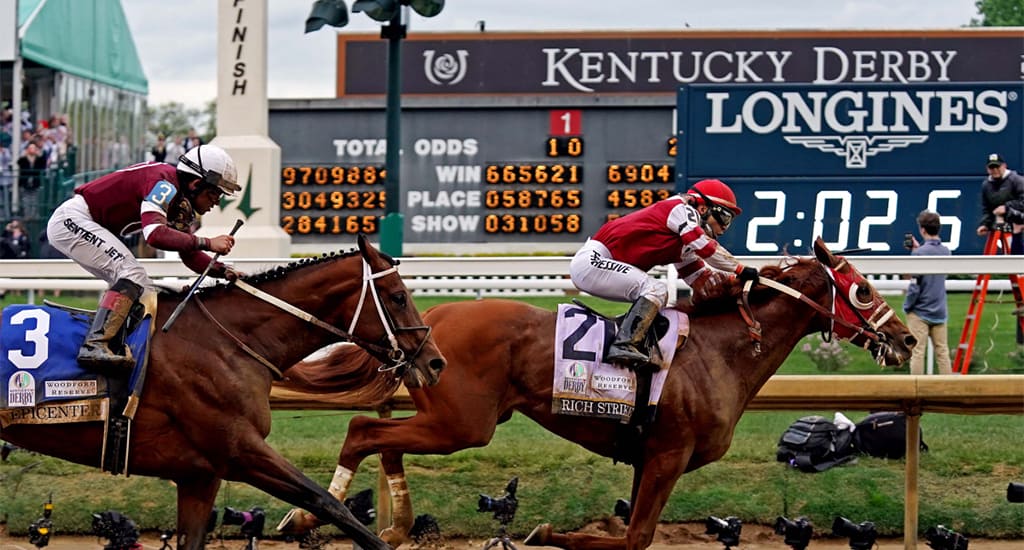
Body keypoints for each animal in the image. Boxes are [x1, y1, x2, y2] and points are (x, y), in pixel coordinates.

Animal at [0, 235, 444, 548]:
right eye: (399, 297)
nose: (435, 362)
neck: (227, 341)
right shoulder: (240, 451)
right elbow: (327, 503)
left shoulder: (200, 474)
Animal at [276, 238, 917, 548]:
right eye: (862, 290)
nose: (907, 338)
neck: (720, 352)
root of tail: (430, 318)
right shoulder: (668, 454)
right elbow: (633, 538)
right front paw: (544, 532)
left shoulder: (649, 457)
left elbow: (630, 532)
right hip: (463, 423)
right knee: (365, 430)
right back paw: (306, 518)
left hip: (446, 413)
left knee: (383, 438)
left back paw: (396, 524)